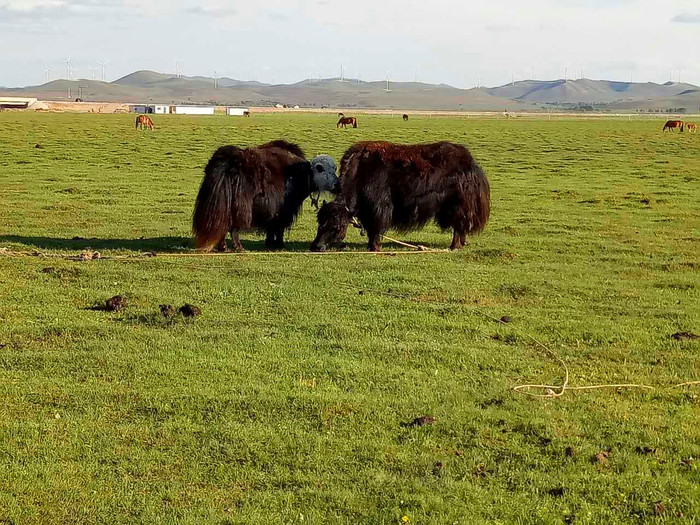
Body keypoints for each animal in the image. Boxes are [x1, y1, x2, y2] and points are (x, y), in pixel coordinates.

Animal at [191, 140, 340, 251]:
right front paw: (279, 245)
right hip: (240, 208)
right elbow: (279, 228)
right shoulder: (284, 211)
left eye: (335, 168)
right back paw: (239, 248)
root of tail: (226, 164)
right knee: (233, 228)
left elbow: (272, 228)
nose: (338, 185)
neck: (302, 173)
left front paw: (269, 243)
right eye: (322, 169)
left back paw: (224, 247)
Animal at [314, 141, 492, 252]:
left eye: (336, 227)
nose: (315, 247)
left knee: (459, 225)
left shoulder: (379, 207)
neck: (359, 172)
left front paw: (374, 248)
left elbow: (375, 227)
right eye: (320, 222)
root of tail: (471, 162)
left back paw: (454, 246)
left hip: (458, 205)